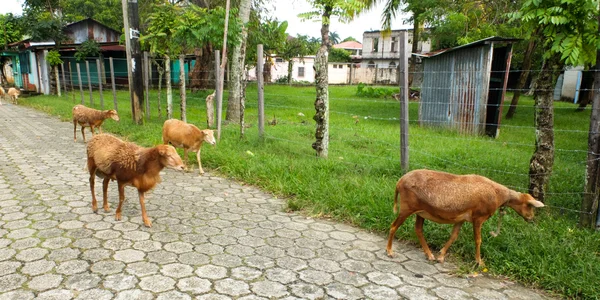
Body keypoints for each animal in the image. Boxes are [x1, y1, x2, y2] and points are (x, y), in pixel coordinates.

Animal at [386, 170, 548, 266]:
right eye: (530, 206)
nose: (531, 218)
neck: (498, 194)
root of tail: (399, 182)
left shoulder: (460, 219)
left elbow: (454, 236)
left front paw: (441, 256)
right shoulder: (478, 218)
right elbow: (478, 240)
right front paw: (479, 262)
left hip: (420, 212)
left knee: (418, 230)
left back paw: (430, 255)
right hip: (407, 208)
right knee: (393, 226)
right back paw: (389, 252)